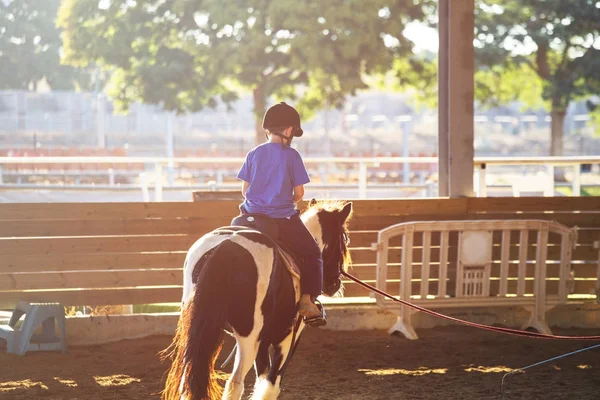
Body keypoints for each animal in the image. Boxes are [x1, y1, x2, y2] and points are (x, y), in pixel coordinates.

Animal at [162, 200, 354, 400]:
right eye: (344, 239)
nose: (334, 284)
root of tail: (227, 246)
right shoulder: (288, 336)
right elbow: (271, 385)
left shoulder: (263, 340)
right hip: (248, 338)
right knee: (235, 383)